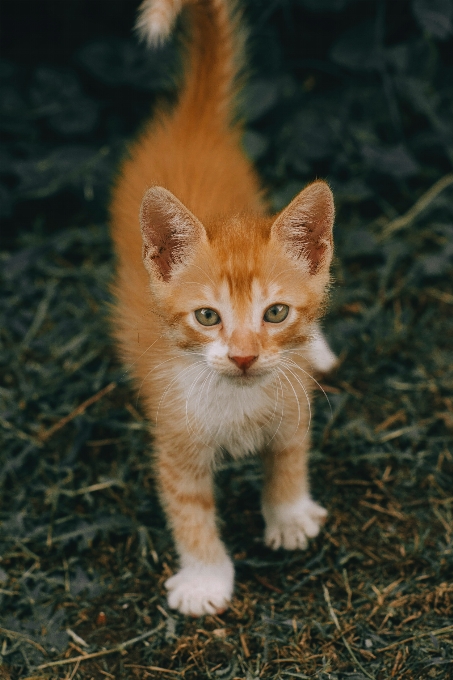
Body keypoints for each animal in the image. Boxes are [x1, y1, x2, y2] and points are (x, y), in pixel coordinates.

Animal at [109, 0, 336, 616]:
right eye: (207, 317)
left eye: (275, 313)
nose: (242, 357)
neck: (237, 400)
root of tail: (192, 121)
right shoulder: (174, 442)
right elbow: (190, 513)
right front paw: (206, 580)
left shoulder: (291, 405)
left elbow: (289, 456)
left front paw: (288, 514)